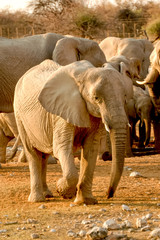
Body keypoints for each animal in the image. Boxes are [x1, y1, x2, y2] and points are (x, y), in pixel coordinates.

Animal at [13, 59, 129, 203]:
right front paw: (62, 190)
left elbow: (91, 149)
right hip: (20, 116)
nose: (108, 194)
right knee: (33, 153)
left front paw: (86, 201)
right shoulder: (61, 112)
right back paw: (38, 199)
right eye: (96, 98)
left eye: (125, 97)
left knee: (43, 156)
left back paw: (47, 194)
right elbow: (61, 148)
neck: (85, 75)